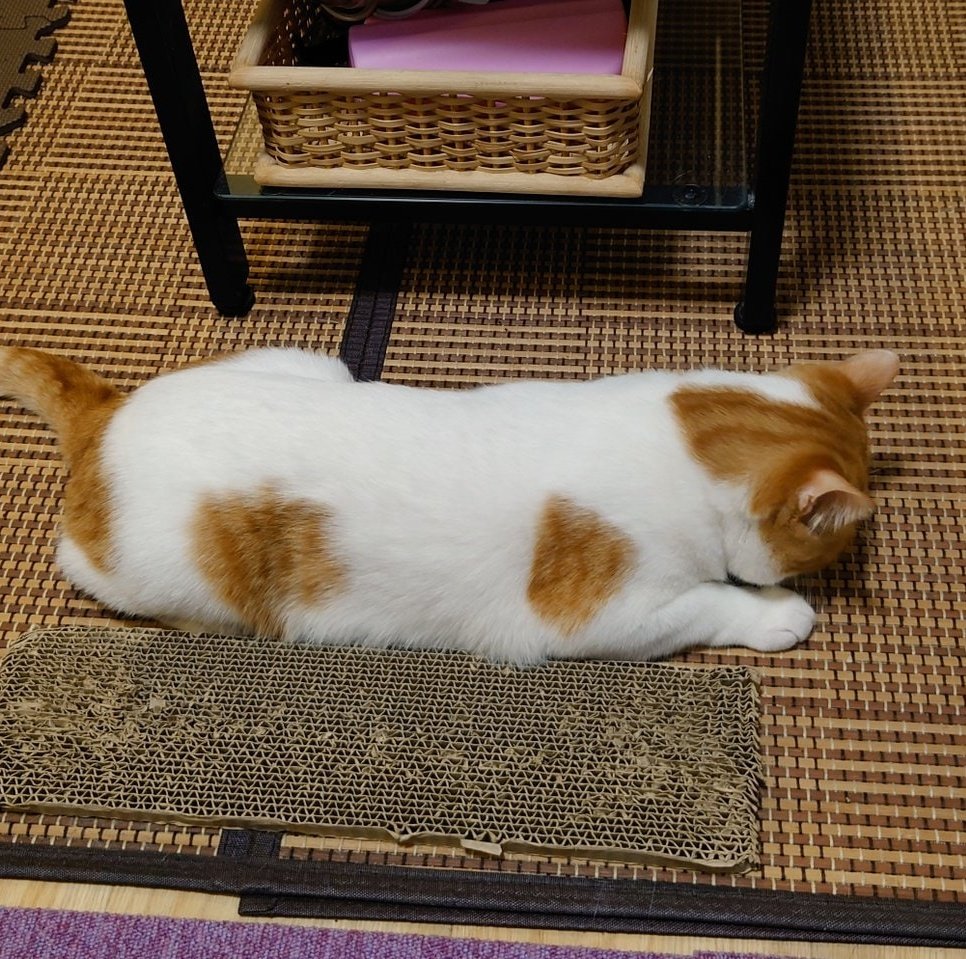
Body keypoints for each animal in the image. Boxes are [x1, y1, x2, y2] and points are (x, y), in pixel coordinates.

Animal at [0, 346, 900, 668]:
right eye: (835, 551)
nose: (847, 560)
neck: (683, 436)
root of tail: (110, 415)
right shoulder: (594, 615)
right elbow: (711, 600)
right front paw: (776, 611)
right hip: (169, 577)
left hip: (320, 363)